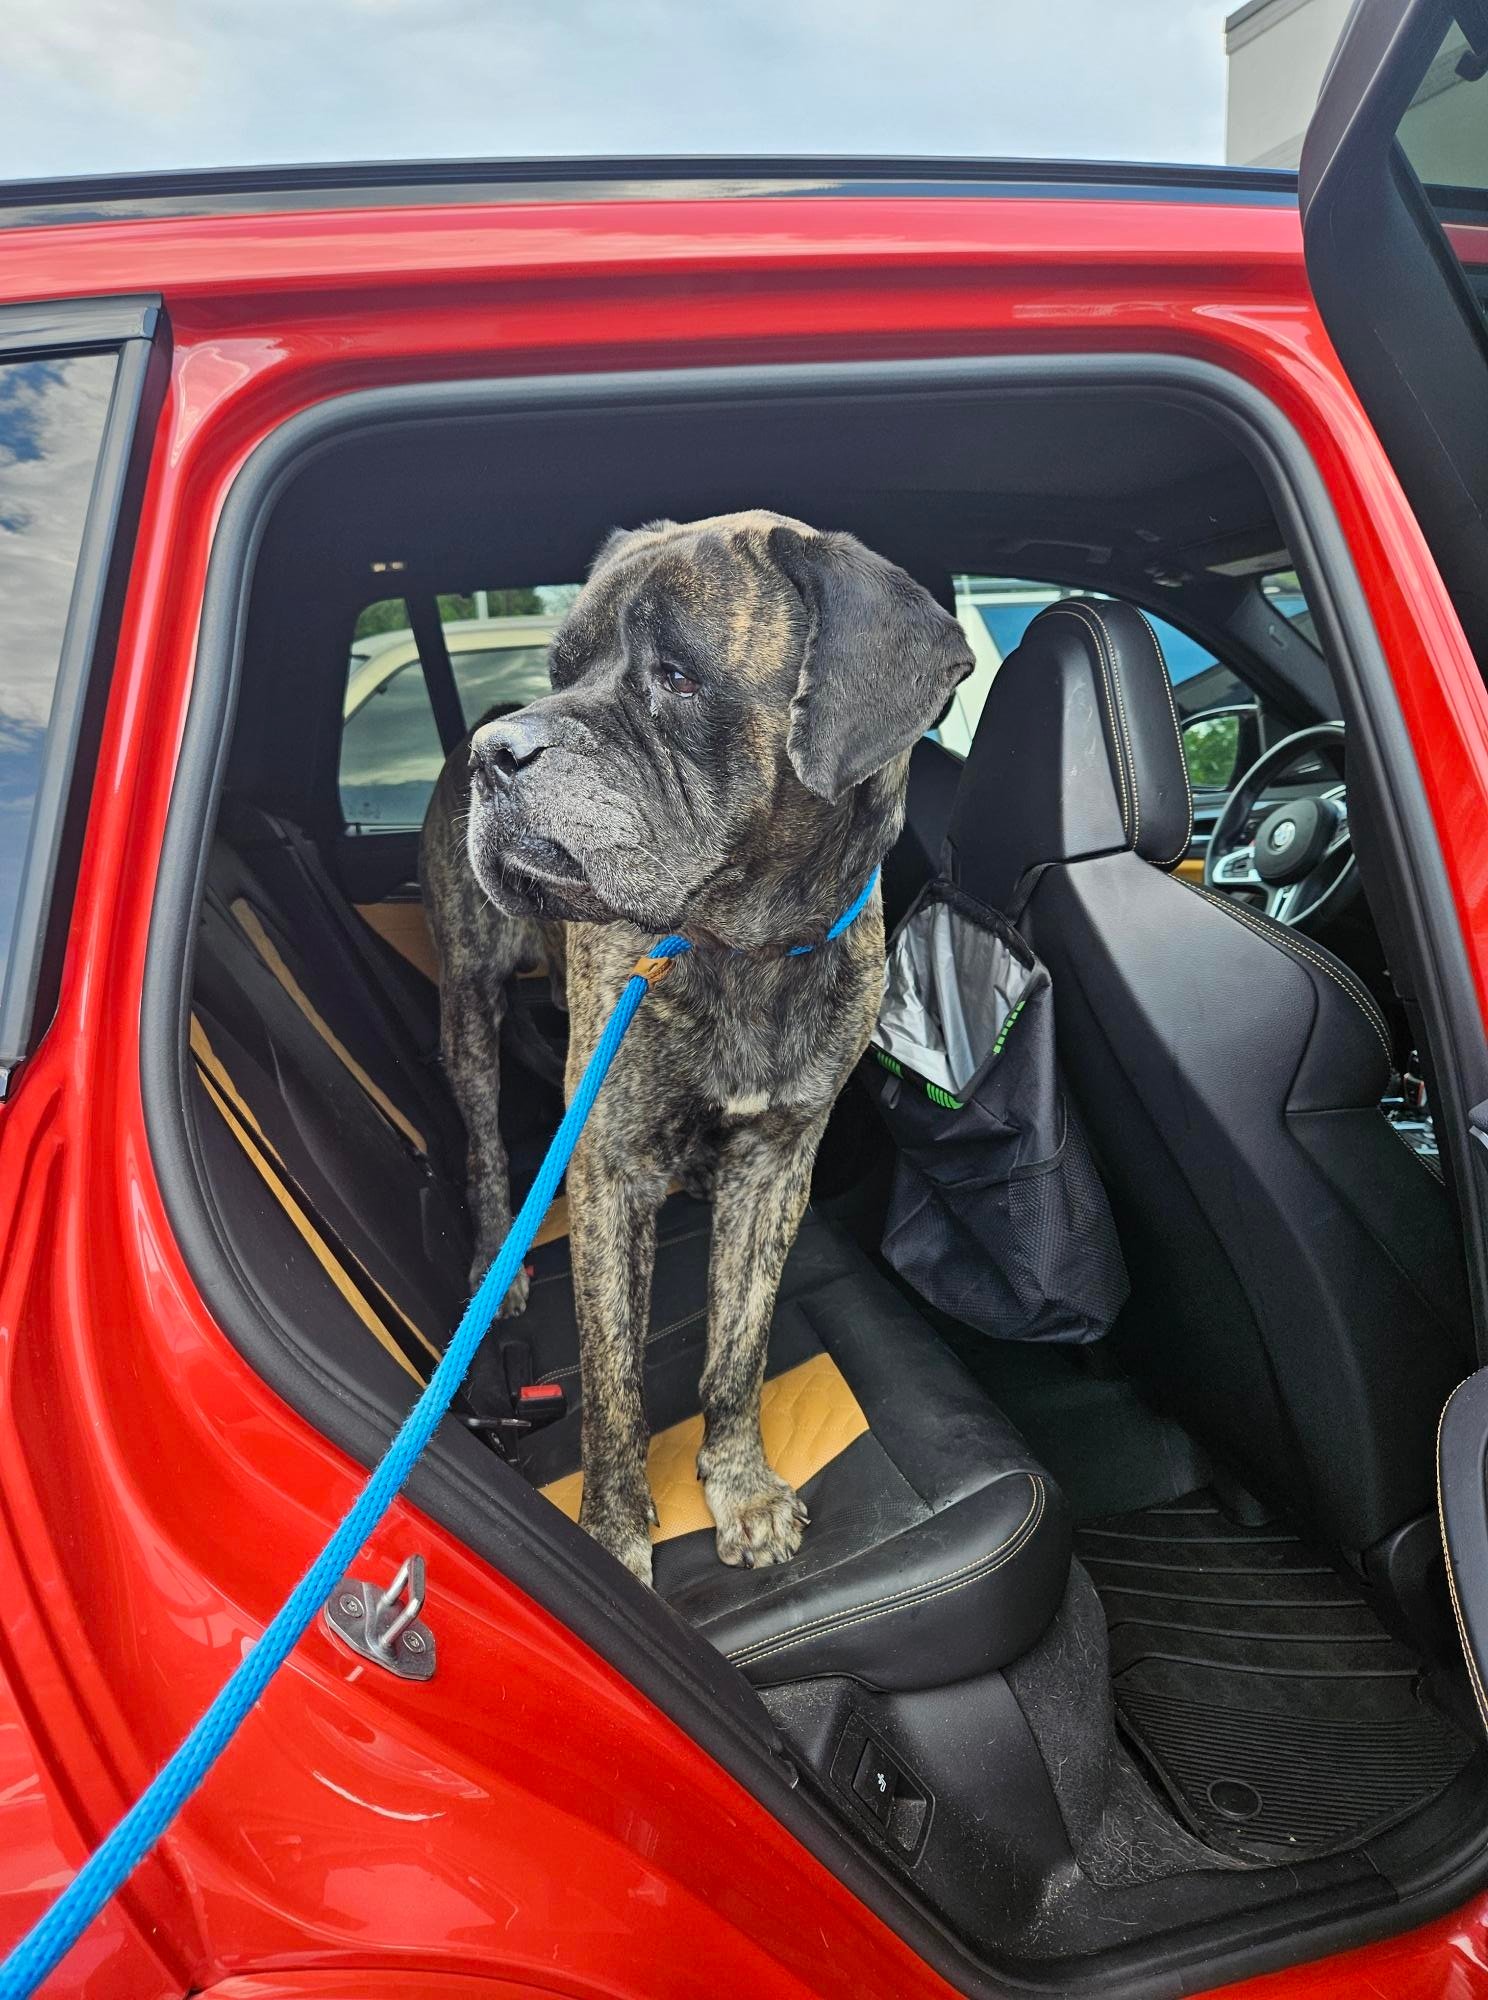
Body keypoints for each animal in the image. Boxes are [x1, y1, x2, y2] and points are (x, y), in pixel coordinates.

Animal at [422, 516, 976, 1592]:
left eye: (676, 676)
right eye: (562, 669)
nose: (494, 753)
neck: (745, 951)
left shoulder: (778, 1163)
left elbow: (739, 1347)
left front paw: (741, 1484)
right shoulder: (608, 1168)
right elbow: (613, 1381)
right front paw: (610, 1535)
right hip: (468, 1004)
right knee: (483, 1148)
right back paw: (494, 1256)